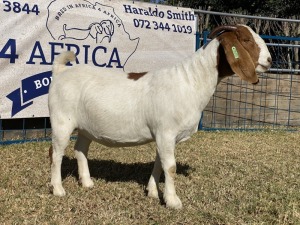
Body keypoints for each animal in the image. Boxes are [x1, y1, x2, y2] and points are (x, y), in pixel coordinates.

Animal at [48, 24, 272, 209]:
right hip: (61, 120)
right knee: (56, 153)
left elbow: (159, 163)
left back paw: (87, 182)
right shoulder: (166, 131)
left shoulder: (163, 135)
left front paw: (153, 192)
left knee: (80, 149)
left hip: (85, 127)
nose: (269, 60)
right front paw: (173, 201)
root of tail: (60, 71)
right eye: (246, 40)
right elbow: (170, 167)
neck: (191, 82)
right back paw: (58, 189)